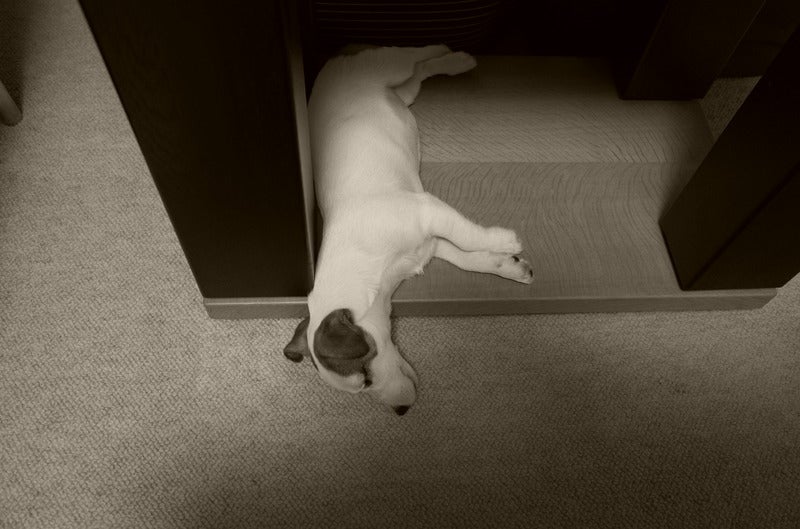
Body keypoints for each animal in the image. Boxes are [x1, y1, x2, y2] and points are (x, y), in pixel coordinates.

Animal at [283, 45, 533, 415]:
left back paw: (454, 54)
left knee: (414, 54)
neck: (377, 275)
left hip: (389, 66)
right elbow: (467, 257)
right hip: (403, 91)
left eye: (366, 378)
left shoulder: (428, 212)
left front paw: (506, 241)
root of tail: (337, 60)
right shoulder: (430, 242)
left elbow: (469, 236)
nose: (401, 413)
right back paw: (456, 62)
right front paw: (507, 265)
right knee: (421, 72)